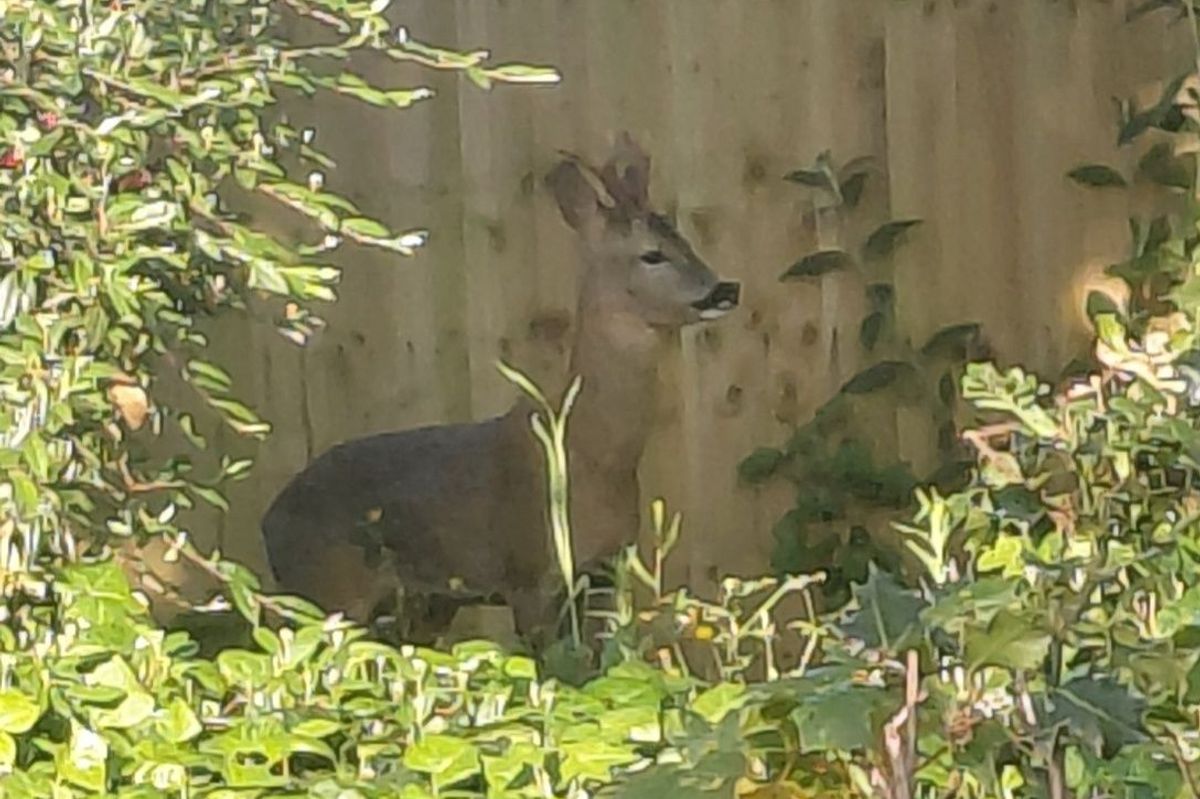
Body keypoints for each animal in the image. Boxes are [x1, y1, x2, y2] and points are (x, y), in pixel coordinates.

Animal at [261, 133, 740, 647]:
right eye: (652, 254)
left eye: (683, 239)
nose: (725, 289)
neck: (592, 455)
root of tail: (268, 523)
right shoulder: (527, 575)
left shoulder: (605, 571)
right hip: (326, 589)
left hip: (422, 604)